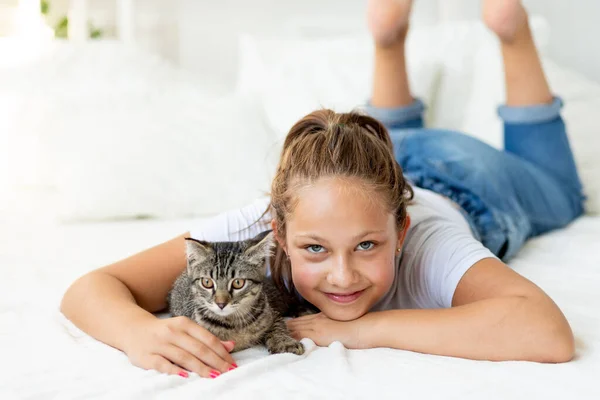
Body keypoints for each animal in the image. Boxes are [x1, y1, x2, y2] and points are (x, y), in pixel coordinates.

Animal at [166, 230, 304, 354]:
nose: (221, 304)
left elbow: (278, 326)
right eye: (207, 282)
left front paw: (285, 342)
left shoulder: (272, 313)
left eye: (238, 283)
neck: (234, 323)